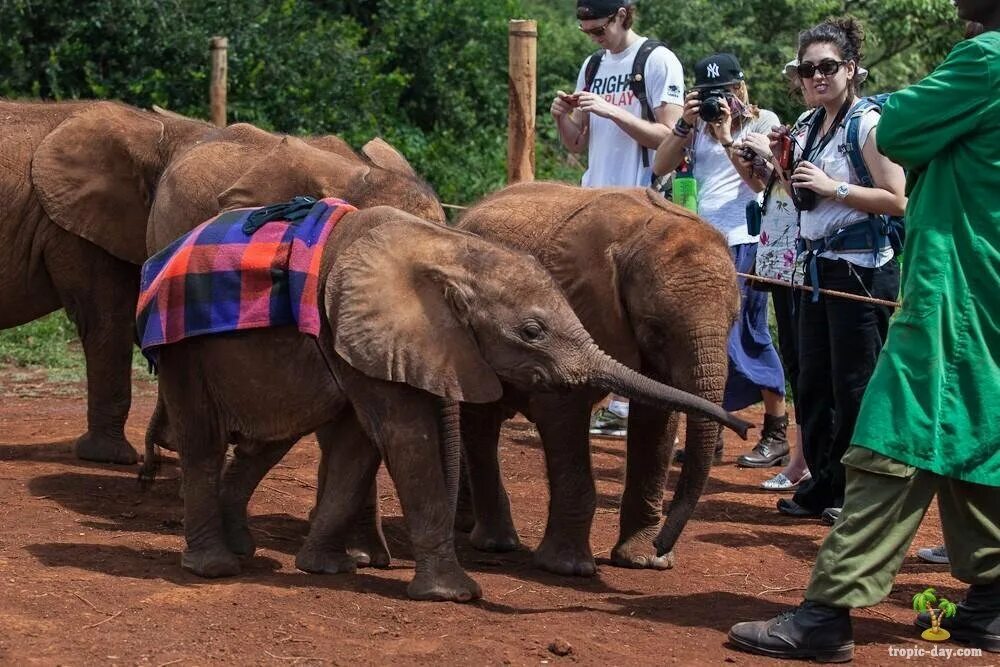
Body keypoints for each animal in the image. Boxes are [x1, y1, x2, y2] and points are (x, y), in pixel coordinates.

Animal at [143, 201, 752, 604]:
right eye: (531, 332)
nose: (742, 432)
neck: (451, 255)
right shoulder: (366, 329)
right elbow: (403, 434)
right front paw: (460, 593)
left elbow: (362, 442)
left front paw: (325, 571)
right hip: (181, 350)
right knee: (204, 440)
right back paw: (216, 567)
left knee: (269, 440)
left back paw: (253, 550)